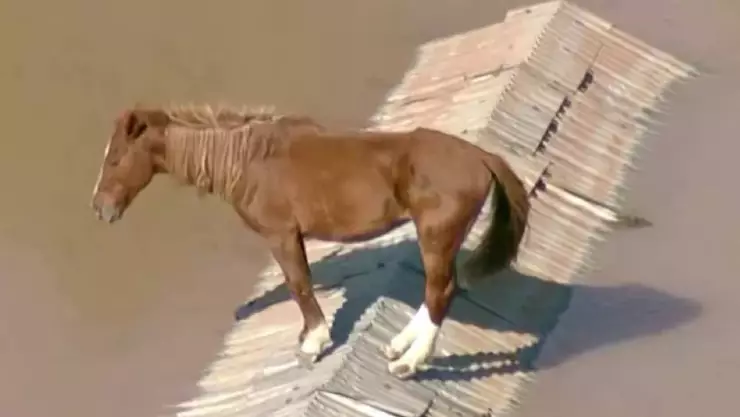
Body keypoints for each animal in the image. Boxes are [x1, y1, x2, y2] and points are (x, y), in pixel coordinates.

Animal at [90, 104, 531, 379]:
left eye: (115, 159)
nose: (99, 208)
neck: (247, 160)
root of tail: (482, 156)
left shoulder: (282, 235)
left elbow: (298, 284)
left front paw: (313, 343)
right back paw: (398, 347)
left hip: (436, 237)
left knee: (441, 291)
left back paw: (408, 363)